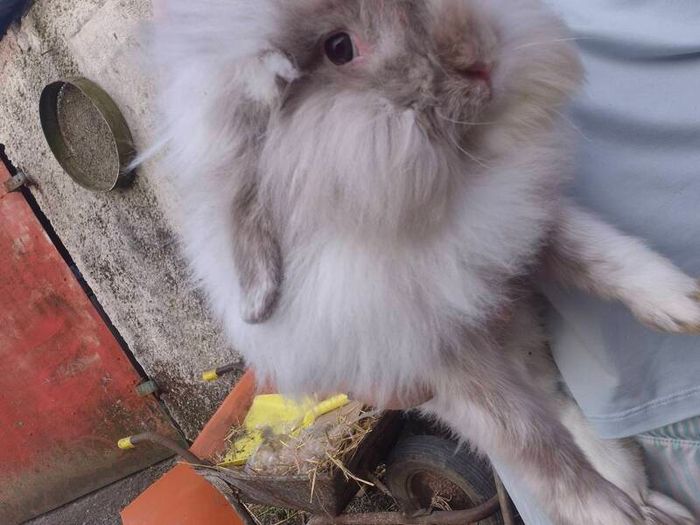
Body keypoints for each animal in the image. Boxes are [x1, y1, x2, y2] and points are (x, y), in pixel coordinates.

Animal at [150, 0, 700, 523]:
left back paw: (644, 498)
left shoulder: (519, 223)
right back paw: (634, 506)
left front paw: (684, 305)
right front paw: (601, 508)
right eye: (339, 48)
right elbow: (527, 439)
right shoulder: (445, 364)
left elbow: (600, 254)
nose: (479, 59)